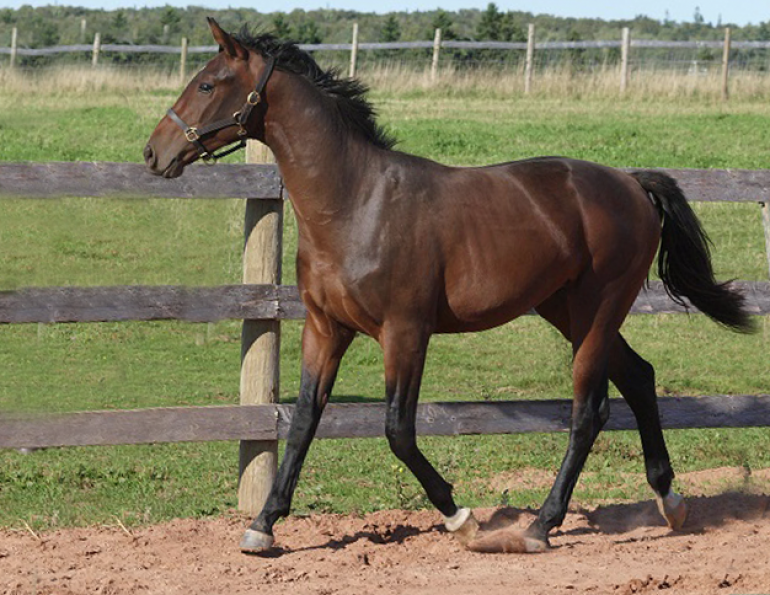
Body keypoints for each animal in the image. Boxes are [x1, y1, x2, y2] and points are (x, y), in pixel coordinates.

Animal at [144, 18, 753, 554]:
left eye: (206, 83)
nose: (154, 153)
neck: (355, 203)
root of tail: (630, 182)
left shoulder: (405, 333)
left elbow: (398, 430)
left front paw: (461, 518)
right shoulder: (325, 328)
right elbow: (302, 423)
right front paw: (263, 526)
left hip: (599, 308)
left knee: (590, 412)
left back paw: (541, 525)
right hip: (565, 309)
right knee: (639, 378)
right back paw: (670, 502)